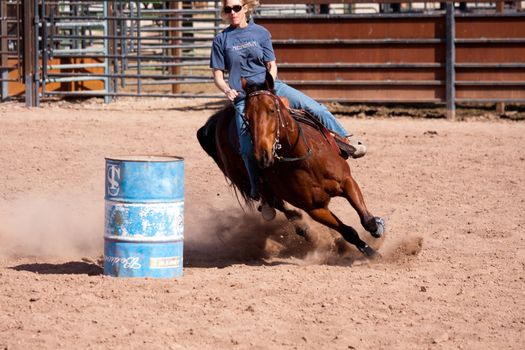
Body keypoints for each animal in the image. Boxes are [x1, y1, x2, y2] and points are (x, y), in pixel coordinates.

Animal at [196, 75, 384, 258]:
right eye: (246, 118)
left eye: (272, 110)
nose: (262, 155)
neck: (304, 160)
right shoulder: (315, 209)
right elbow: (348, 231)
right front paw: (370, 252)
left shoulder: (346, 181)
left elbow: (367, 220)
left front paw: (378, 227)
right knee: (277, 204)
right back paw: (303, 229)